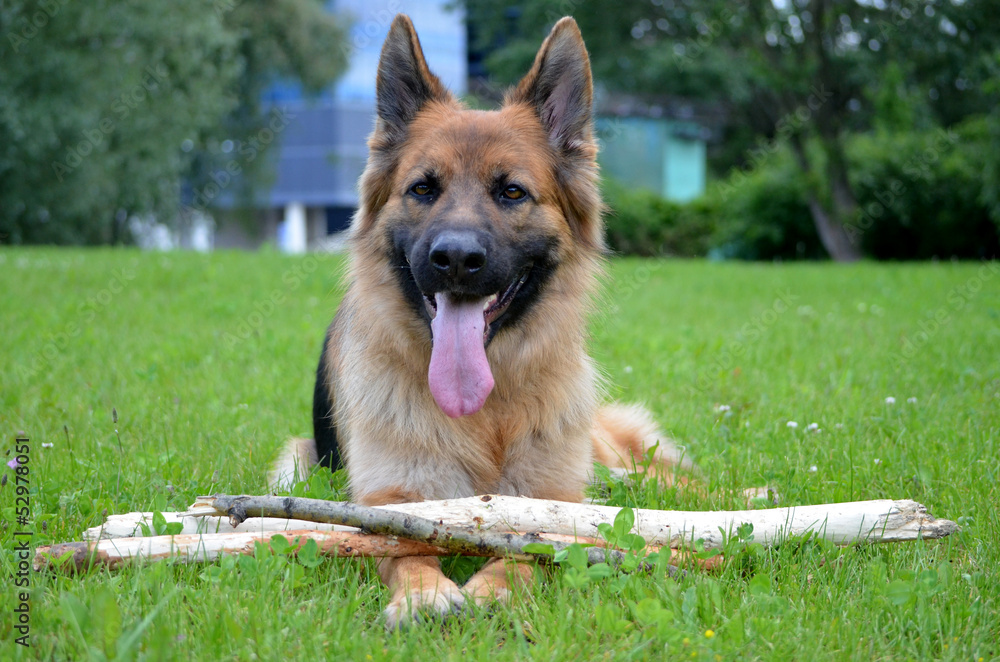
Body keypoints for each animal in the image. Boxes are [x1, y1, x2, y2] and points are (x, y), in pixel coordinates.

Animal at [274, 14, 692, 628]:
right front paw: (422, 594)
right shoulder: (387, 498)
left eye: (511, 191)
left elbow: (532, 549)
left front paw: (495, 590)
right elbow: (401, 545)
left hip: (612, 461)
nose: (455, 258)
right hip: (297, 459)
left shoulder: (553, 498)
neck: (486, 417)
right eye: (423, 188)